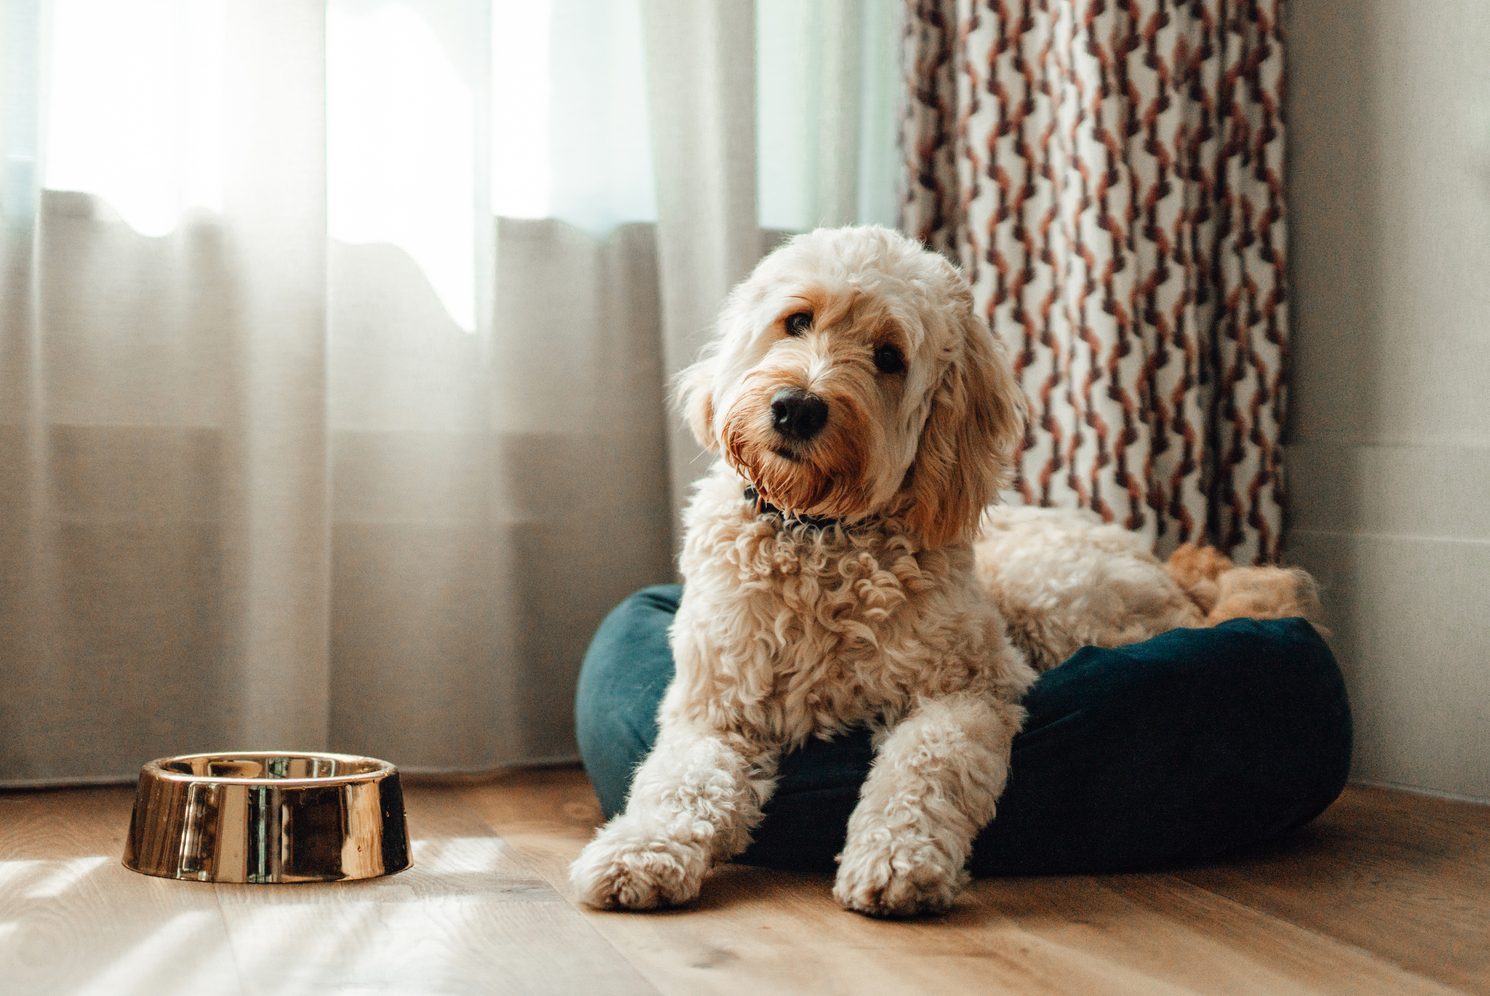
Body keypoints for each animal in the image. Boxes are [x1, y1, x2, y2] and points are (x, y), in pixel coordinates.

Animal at [566, 223, 1317, 918]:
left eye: (889, 357)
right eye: (798, 320)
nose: (797, 408)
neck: (819, 537)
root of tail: (1177, 575)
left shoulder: (967, 690)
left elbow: (922, 771)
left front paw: (898, 860)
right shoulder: (714, 708)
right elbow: (677, 782)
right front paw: (639, 849)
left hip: (1053, 599)